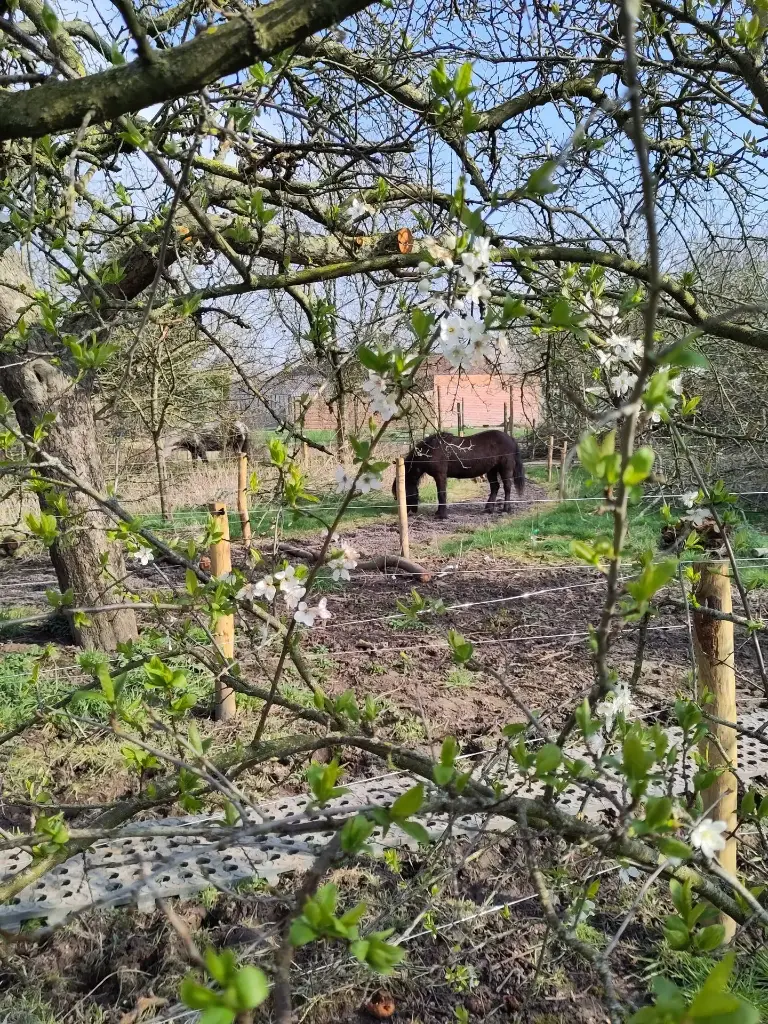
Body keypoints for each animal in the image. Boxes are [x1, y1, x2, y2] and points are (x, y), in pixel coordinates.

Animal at [393, 430, 528, 520]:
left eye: (402, 492)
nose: (409, 511)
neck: (431, 450)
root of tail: (510, 438)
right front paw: (439, 513)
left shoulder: (440, 475)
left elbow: (441, 494)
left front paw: (442, 515)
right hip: (491, 470)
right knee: (495, 487)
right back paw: (488, 509)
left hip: (505, 469)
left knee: (507, 487)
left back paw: (506, 509)